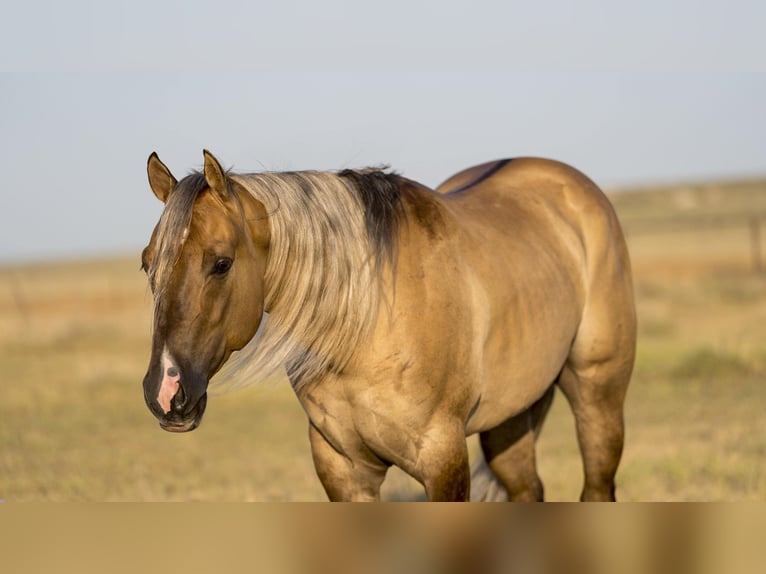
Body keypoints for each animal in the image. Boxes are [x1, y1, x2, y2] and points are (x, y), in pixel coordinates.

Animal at [141, 151, 640, 502]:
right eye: (148, 265)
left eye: (221, 263)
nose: (165, 392)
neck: (364, 322)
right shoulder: (343, 468)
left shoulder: (443, 459)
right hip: (511, 418)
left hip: (598, 395)